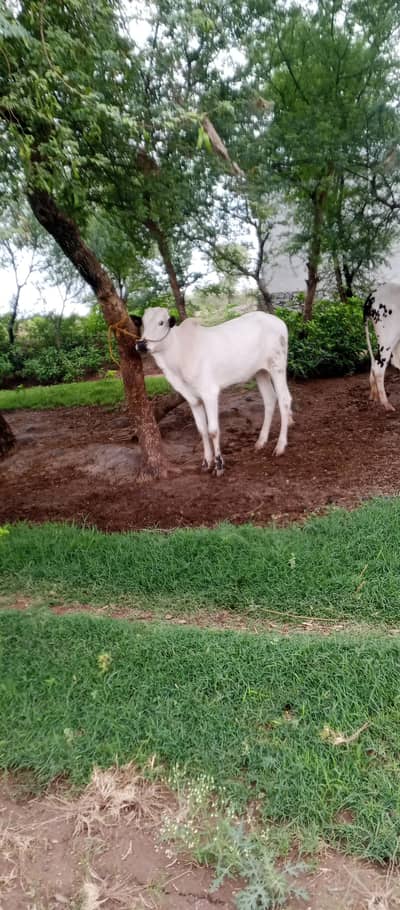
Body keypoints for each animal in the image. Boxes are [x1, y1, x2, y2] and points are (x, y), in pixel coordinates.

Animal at [133, 307, 292, 476]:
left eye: (161, 322)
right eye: (142, 323)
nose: (141, 345)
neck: (179, 355)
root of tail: (277, 320)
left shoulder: (209, 393)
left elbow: (213, 430)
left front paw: (219, 465)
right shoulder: (192, 399)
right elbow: (202, 430)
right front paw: (206, 462)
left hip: (277, 367)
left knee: (284, 400)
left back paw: (280, 446)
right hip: (260, 372)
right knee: (269, 399)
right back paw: (261, 441)